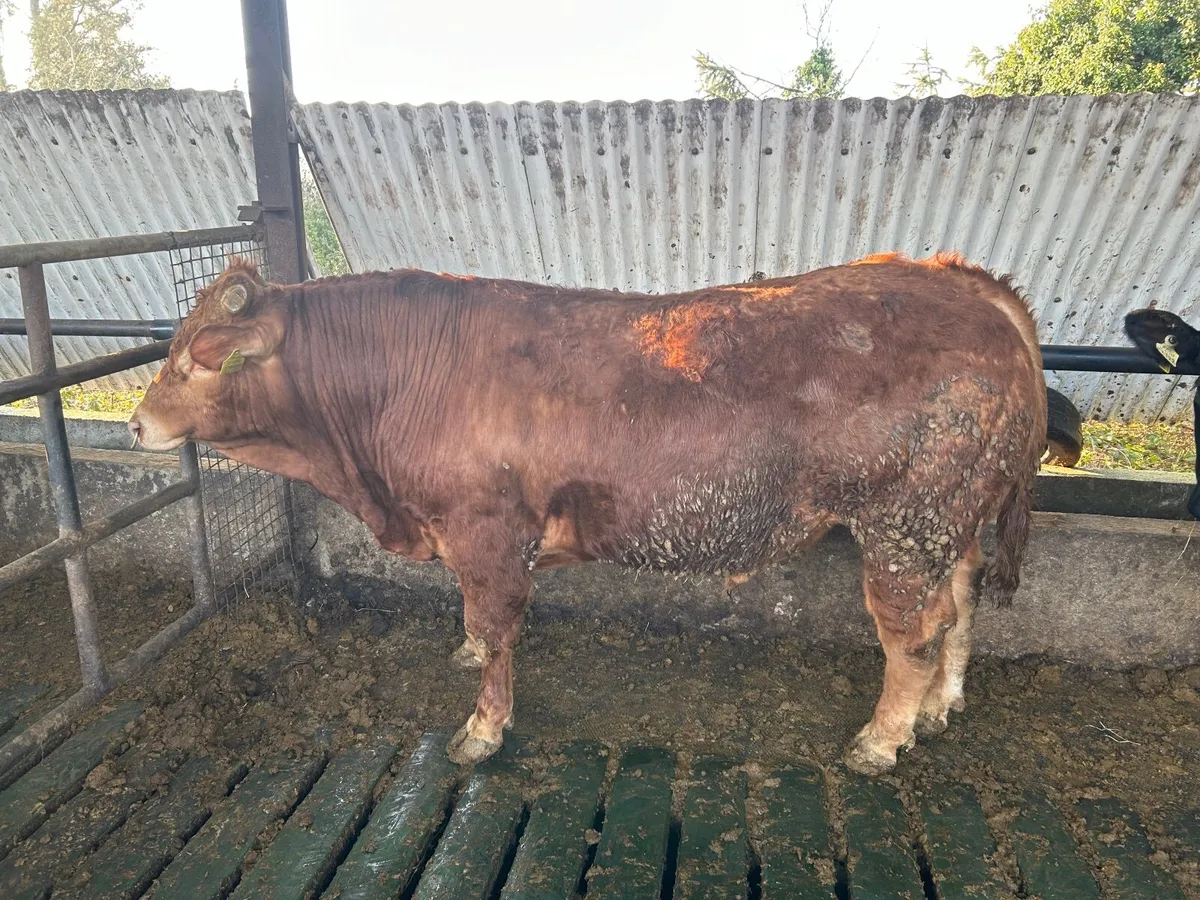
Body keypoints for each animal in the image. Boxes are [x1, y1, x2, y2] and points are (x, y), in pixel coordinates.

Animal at [128, 251, 1047, 776]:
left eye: (197, 361)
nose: (137, 423)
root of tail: (959, 281)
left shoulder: (488, 530)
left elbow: (497, 627)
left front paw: (482, 728)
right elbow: (478, 624)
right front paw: (465, 657)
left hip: (903, 525)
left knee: (912, 638)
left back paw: (882, 739)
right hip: (952, 526)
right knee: (958, 611)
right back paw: (940, 708)